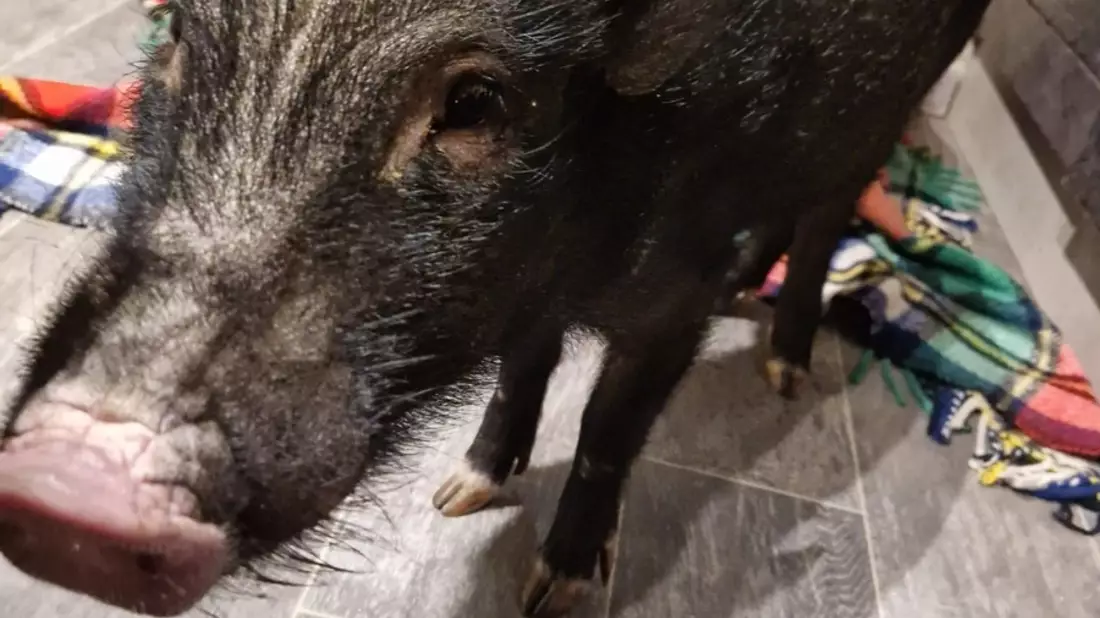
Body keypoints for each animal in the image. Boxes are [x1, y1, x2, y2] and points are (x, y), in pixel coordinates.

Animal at [0, 0, 991, 616]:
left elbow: (605, 432)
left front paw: (552, 594)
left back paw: (785, 370)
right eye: (175, 34)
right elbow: (523, 367)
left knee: (828, 213)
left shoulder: (674, 304)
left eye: (476, 100)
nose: (74, 470)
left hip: (895, 103)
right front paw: (460, 494)